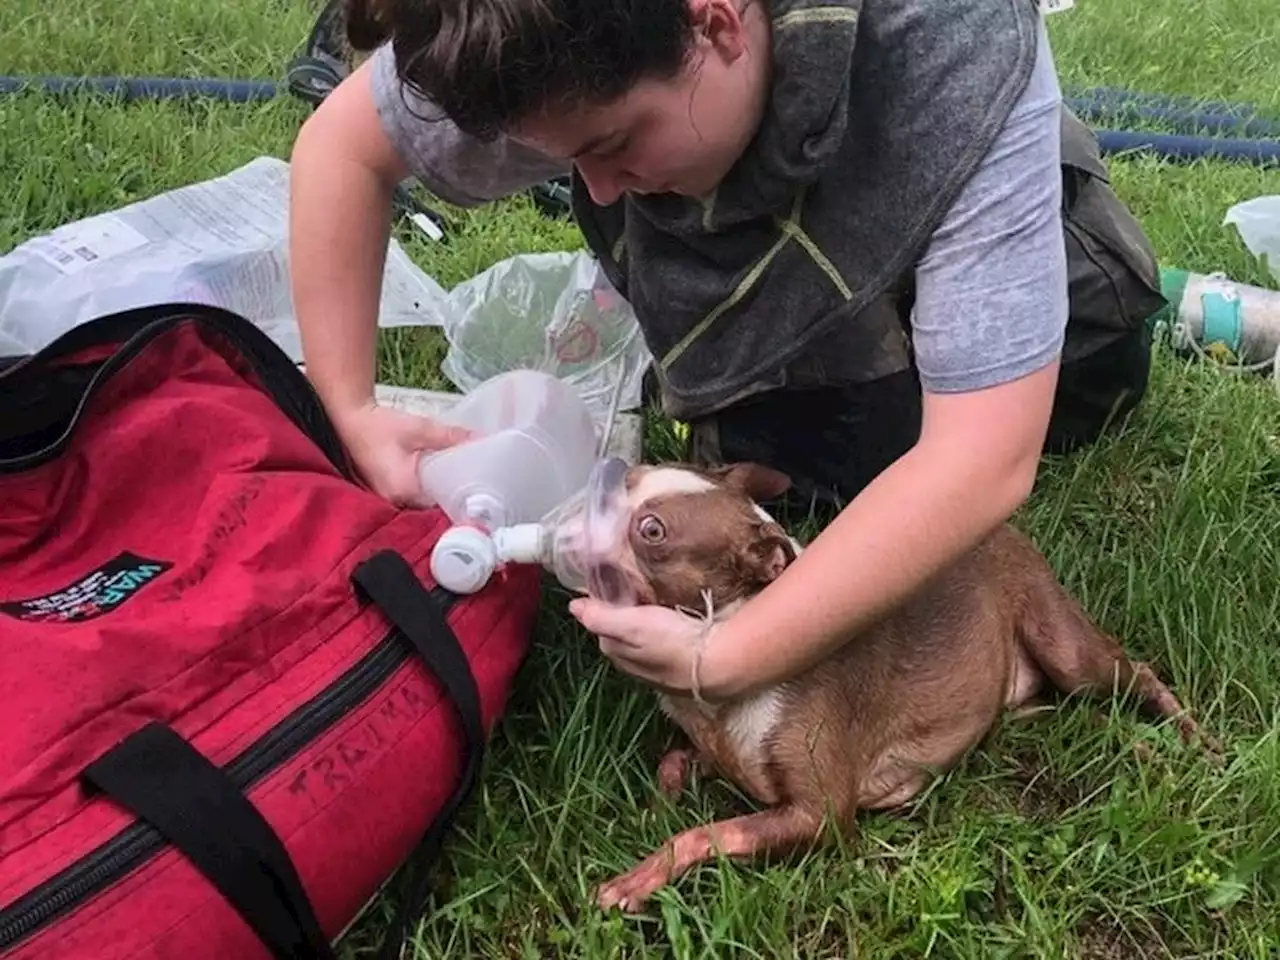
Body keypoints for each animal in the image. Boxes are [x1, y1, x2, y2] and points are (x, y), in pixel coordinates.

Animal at [583, 463, 1218, 911]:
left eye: (652, 531)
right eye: (630, 477)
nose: (594, 496)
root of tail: (1004, 527)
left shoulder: (820, 818)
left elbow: (706, 833)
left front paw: (642, 874)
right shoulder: (719, 752)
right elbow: (674, 764)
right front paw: (654, 808)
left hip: (1065, 649)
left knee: (1136, 672)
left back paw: (1192, 737)